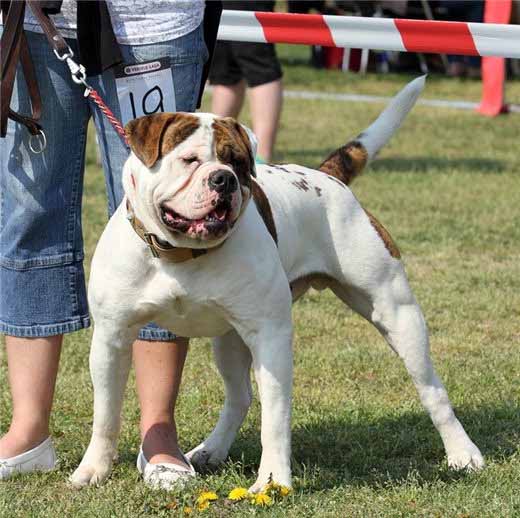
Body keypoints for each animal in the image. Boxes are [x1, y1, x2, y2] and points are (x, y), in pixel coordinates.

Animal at [70, 79, 484, 494]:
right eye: (189, 160)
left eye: (238, 162)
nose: (224, 178)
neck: (181, 255)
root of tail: (325, 176)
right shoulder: (111, 338)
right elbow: (105, 413)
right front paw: (93, 470)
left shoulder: (270, 337)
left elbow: (275, 418)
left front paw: (272, 482)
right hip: (229, 338)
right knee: (239, 396)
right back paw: (210, 450)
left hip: (398, 313)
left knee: (432, 389)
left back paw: (462, 453)